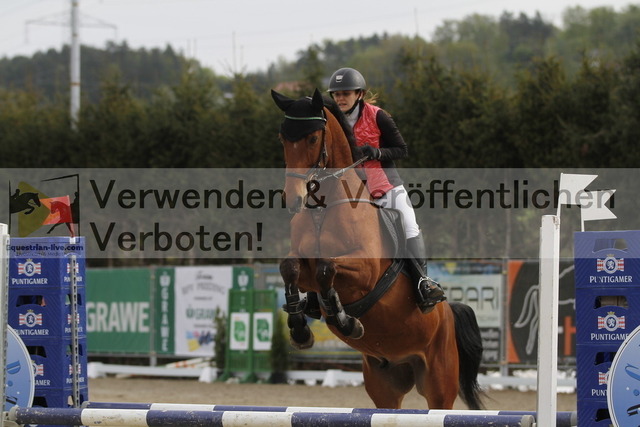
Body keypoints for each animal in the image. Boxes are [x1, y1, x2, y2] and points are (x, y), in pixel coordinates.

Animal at [271, 88, 484, 410]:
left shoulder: (366, 270)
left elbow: (327, 267)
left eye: (312, 138)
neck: (325, 207)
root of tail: (448, 313)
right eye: (283, 138)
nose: (293, 200)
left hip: (439, 382)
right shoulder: (303, 265)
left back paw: (428, 291)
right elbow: (291, 268)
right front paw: (300, 327)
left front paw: (345, 321)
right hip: (384, 384)